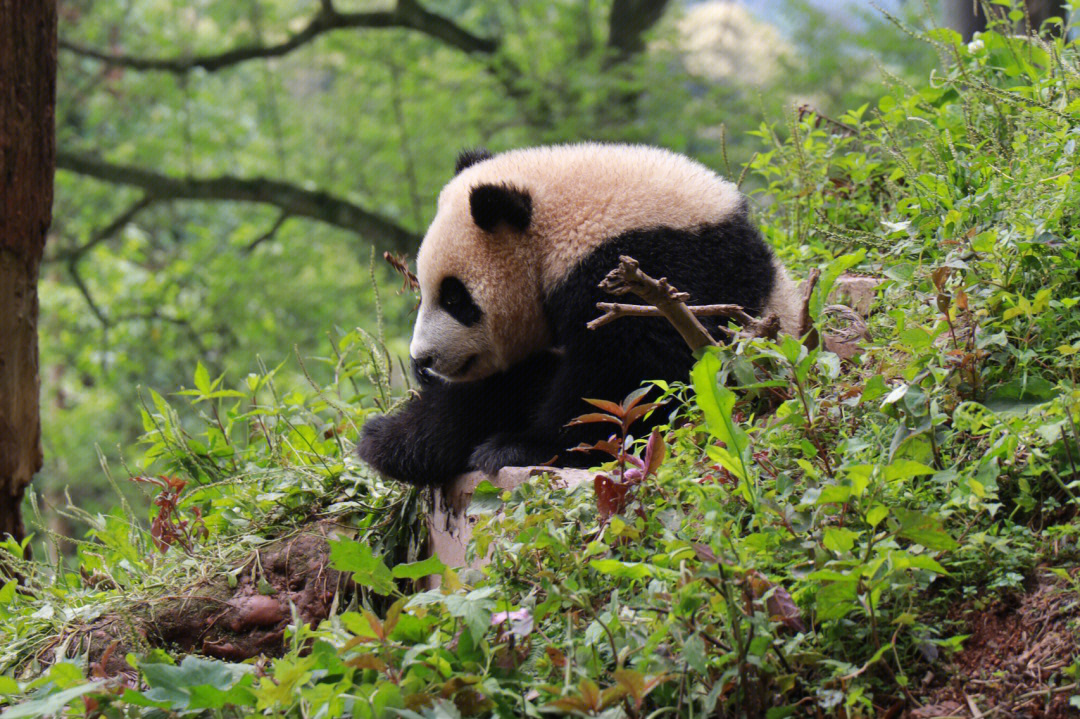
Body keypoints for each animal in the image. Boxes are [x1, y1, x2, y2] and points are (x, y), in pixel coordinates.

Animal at [358, 142, 799, 483]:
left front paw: (521, 447)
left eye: (455, 300)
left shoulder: (648, 268)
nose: (424, 360)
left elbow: (629, 375)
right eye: (425, 294)